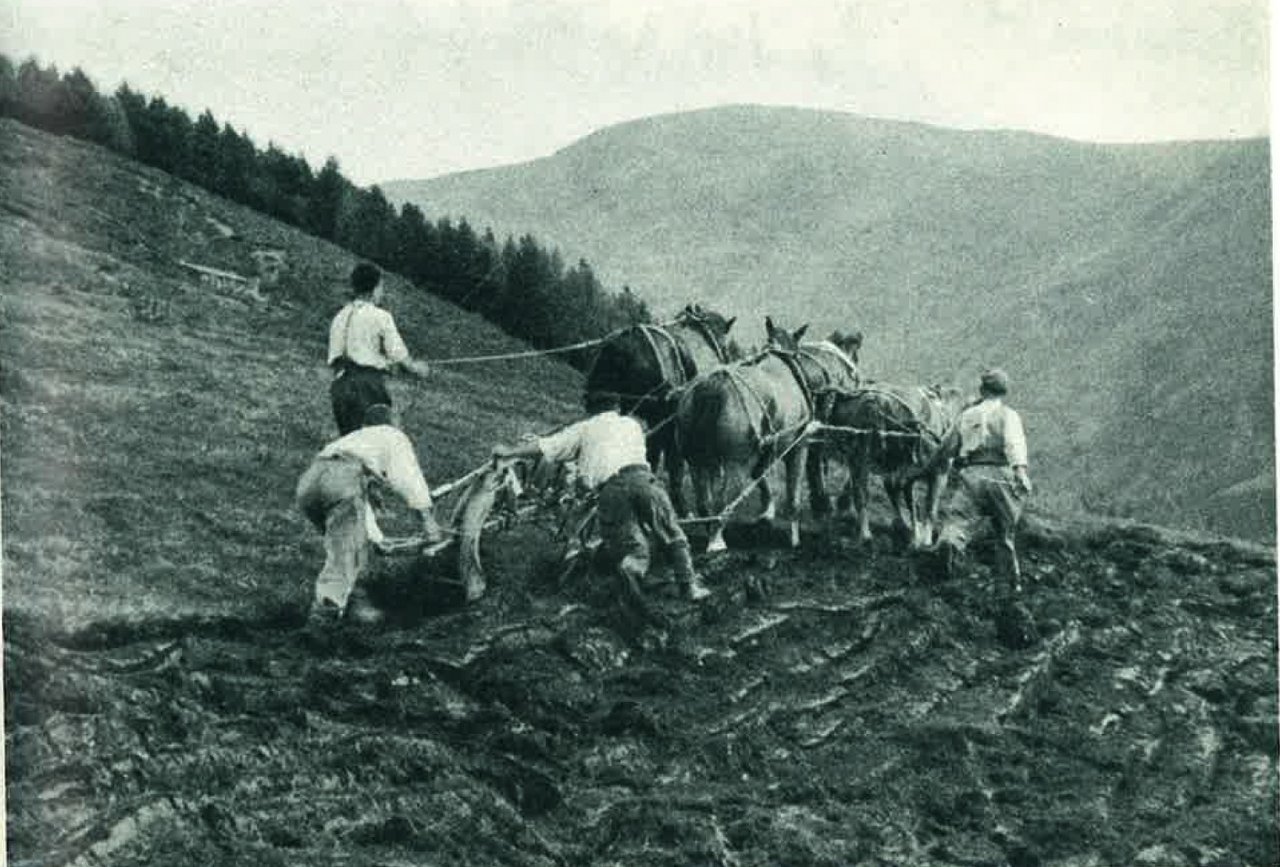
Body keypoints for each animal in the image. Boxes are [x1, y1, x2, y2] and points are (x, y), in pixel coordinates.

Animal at [675, 316, 865, 548]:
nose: (856, 379)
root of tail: (714, 385)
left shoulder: (769, 445)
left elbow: (761, 475)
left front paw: (767, 513)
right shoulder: (798, 446)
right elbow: (793, 494)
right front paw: (794, 535)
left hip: (696, 459)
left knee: (705, 500)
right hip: (735, 463)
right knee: (724, 501)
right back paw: (716, 541)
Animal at [814, 381, 962, 545]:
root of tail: (875, 403)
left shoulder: (897, 471)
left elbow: (904, 498)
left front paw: (911, 532)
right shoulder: (938, 471)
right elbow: (928, 506)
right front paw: (921, 539)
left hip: (859, 459)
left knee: (861, 494)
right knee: (864, 494)